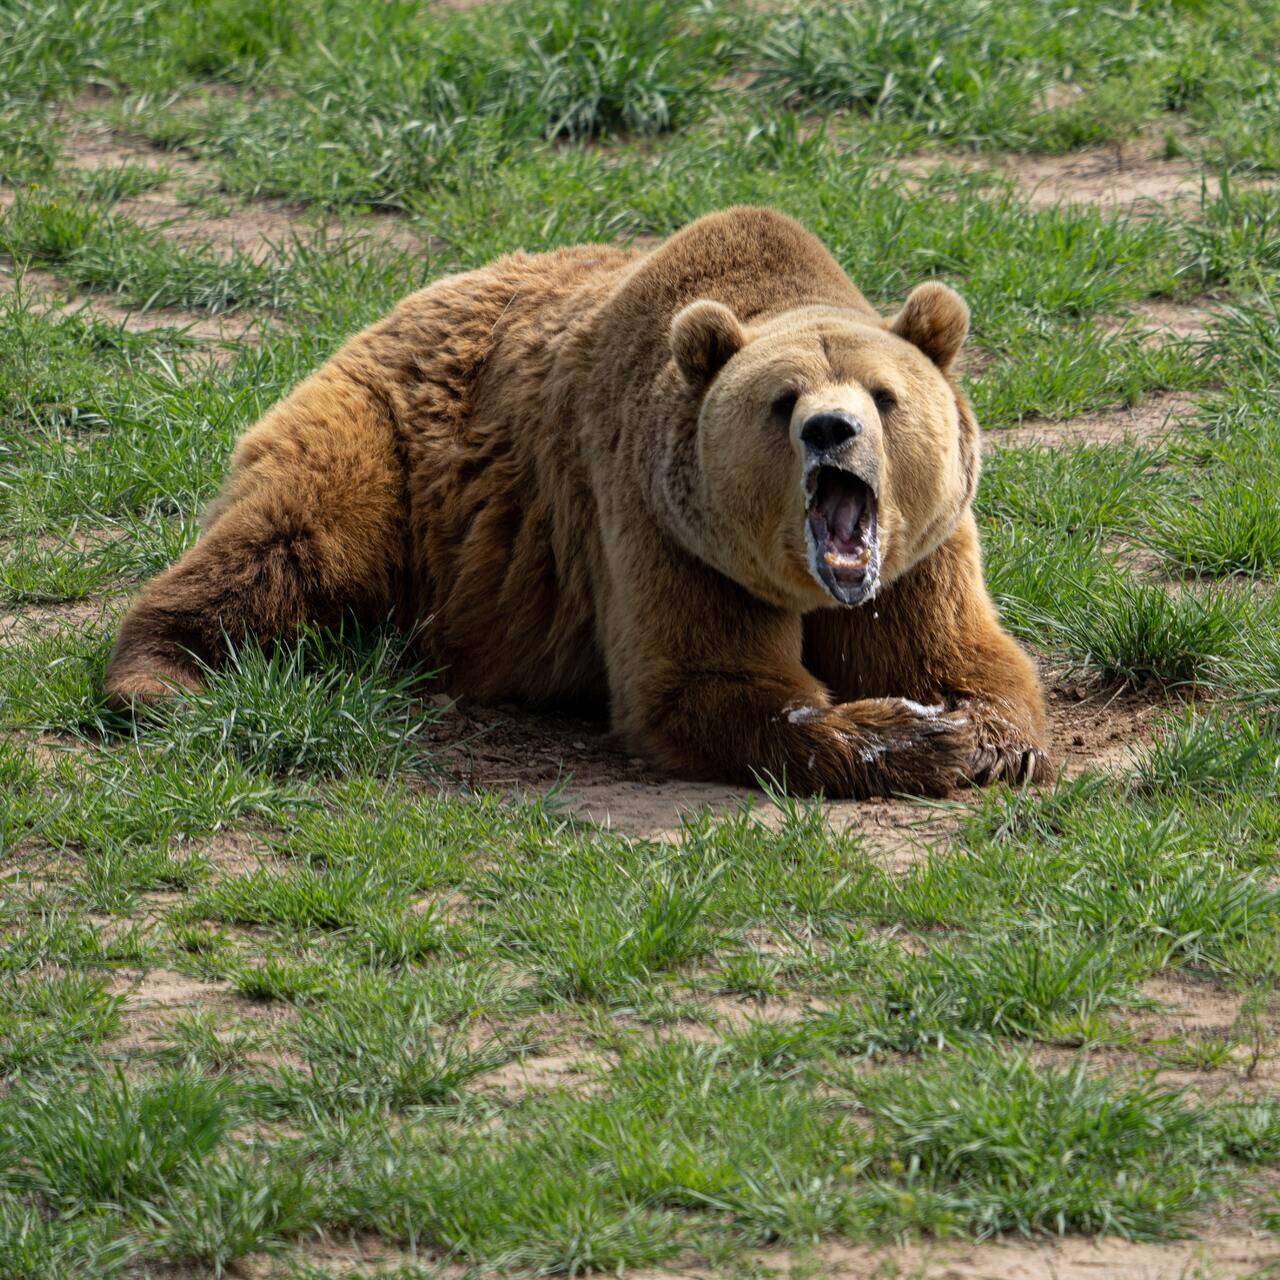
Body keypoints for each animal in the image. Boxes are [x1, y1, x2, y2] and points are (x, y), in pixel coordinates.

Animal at [104, 204, 1049, 793]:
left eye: (884, 395)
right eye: (783, 400)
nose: (830, 430)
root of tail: (403, 300)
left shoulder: (920, 553)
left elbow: (962, 656)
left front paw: (979, 735)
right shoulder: (658, 524)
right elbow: (704, 682)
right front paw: (916, 735)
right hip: (386, 446)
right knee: (285, 543)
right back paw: (163, 677)